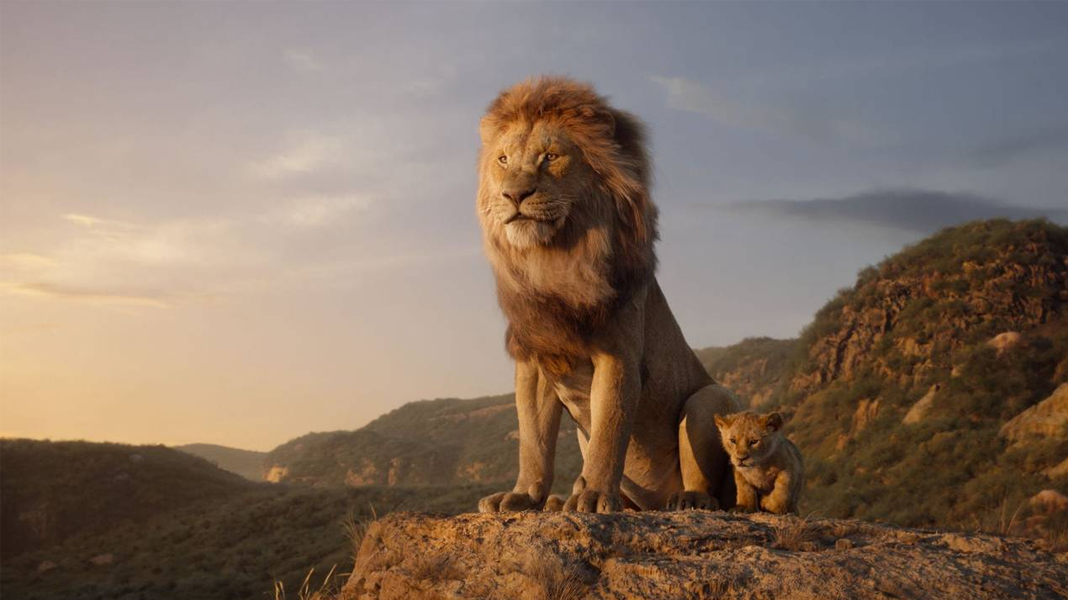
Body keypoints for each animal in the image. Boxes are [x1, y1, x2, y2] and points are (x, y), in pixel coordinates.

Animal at [474, 77, 741, 513]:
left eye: (550, 157)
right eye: (503, 160)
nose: (514, 195)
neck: (553, 260)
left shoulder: (618, 354)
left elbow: (609, 431)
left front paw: (595, 495)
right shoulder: (535, 359)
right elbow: (533, 440)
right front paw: (523, 495)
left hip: (710, 399)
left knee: (710, 486)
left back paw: (687, 499)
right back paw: (559, 501)